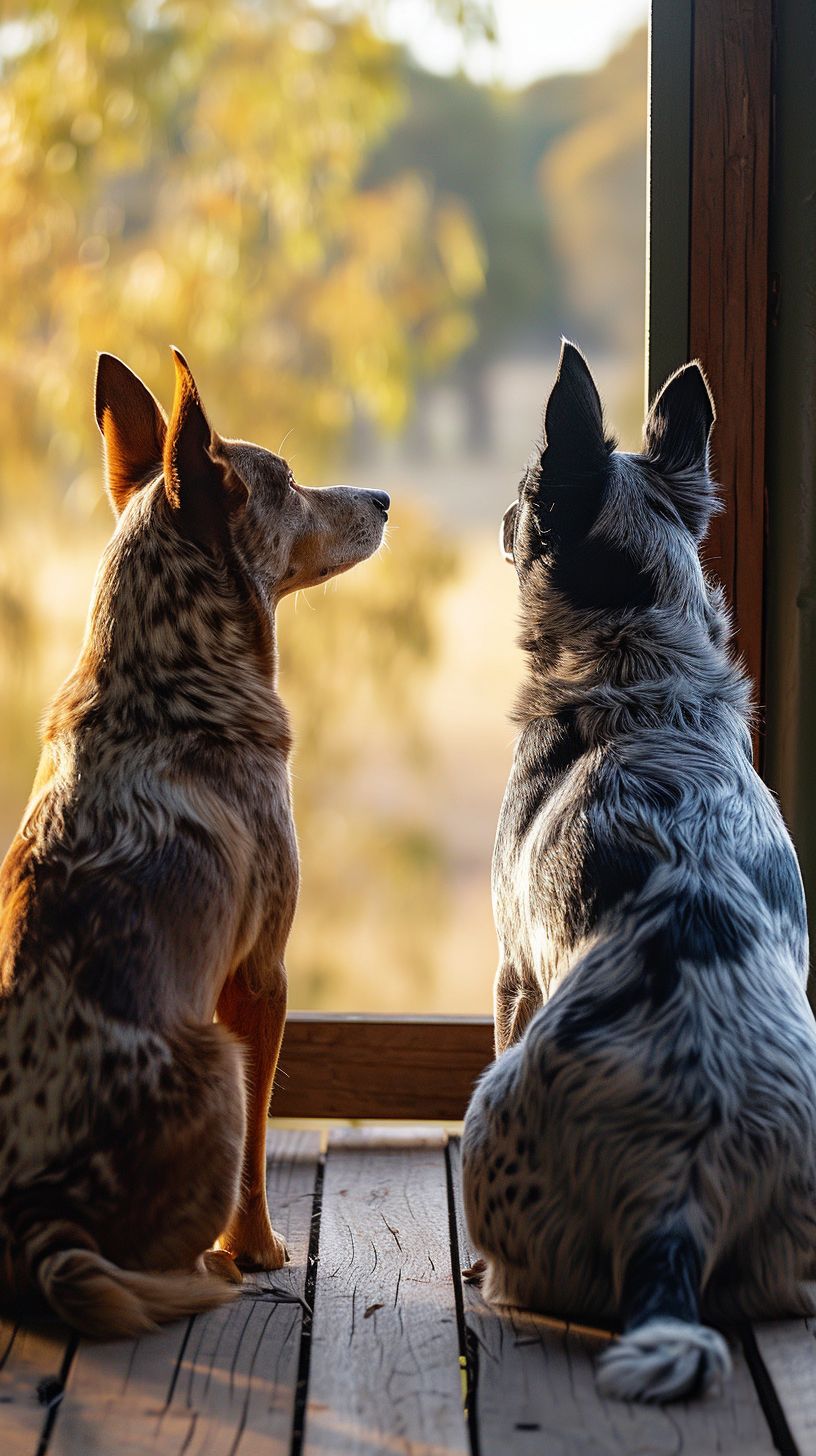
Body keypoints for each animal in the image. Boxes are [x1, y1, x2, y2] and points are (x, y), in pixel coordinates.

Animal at [0, 349, 387, 1333]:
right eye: (286, 482)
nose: (383, 497)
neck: (159, 680)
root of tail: (35, 1219)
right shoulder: (260, 976)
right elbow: (256, 1150)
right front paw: (256, 1249)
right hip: (214, 1054)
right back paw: (210, 1268)